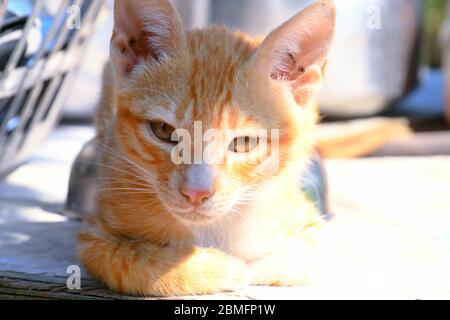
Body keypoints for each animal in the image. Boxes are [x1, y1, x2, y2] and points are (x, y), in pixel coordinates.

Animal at [78, 0, 334, 296]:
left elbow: (309, 256)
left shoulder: (309, 221)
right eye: (163, 130)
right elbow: (132, 264)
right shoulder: (94, 235)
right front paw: (220, 267)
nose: (196, 192)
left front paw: (256, 266)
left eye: (244, 143)